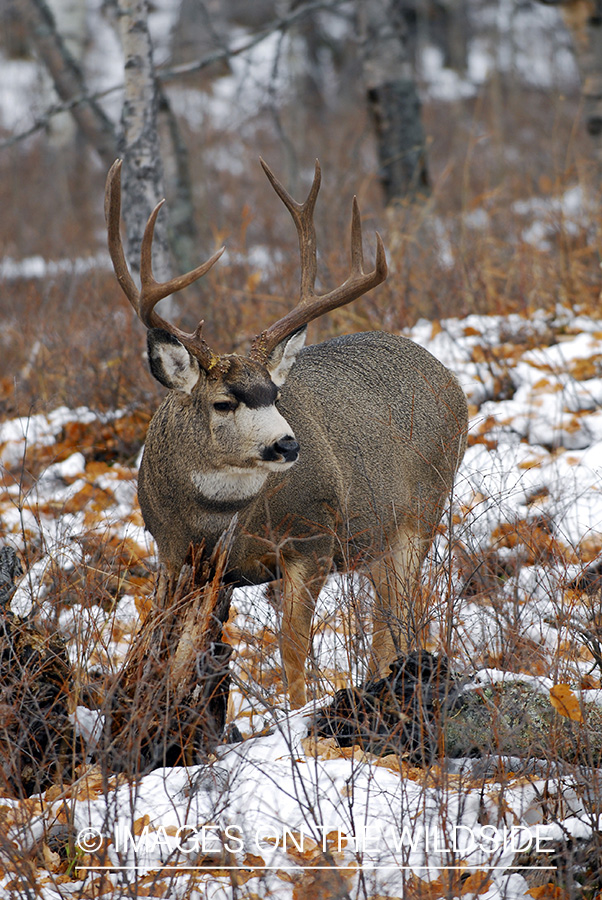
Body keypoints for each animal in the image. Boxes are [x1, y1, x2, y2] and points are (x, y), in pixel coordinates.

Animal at [105, 158, 468, 708]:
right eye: (223, 401)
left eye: (275, 394)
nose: (288, 443)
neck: (218, 514)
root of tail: (449, 378)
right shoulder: (177, 556)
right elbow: (169, 652)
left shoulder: (313, 538)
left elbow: (293, 646)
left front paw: (298, 713)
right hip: (378, 536)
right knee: (389, 615)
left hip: (421, 511)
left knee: (399, 612)